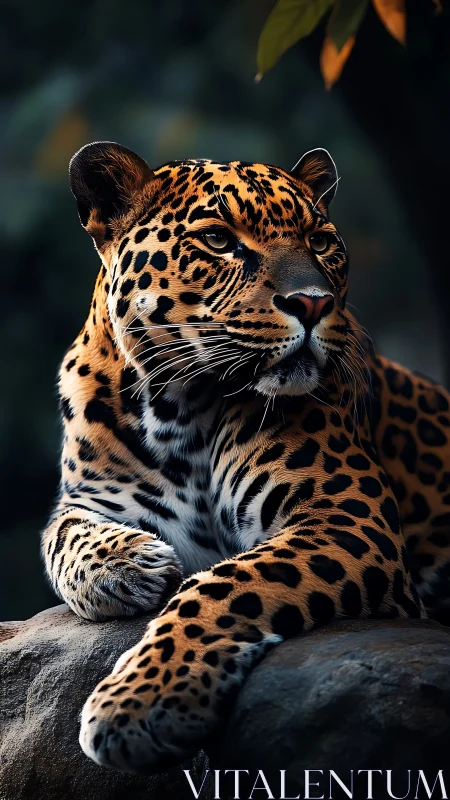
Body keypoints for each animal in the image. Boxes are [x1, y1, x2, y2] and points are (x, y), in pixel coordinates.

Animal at [41, 141, 450, 774]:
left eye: (321, 241)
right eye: (218, 239)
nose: (312, 302)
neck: (177, 410)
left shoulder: (347, 518)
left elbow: (228, 584)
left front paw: (142, 700)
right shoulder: (91, 498)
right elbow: (63, 538)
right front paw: (128, 567)